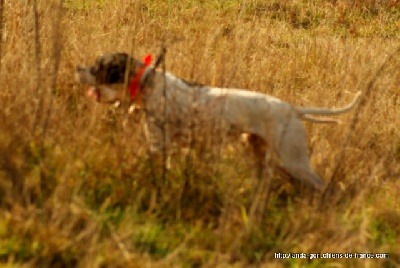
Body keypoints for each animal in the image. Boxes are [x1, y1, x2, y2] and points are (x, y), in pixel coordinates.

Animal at [75, 52, 362, 191]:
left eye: (98, 66)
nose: (77, 67)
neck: (150, 84)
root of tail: (293, 109)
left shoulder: (157, 145)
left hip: (295, 160)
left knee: (321, 185)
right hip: (258, 153)